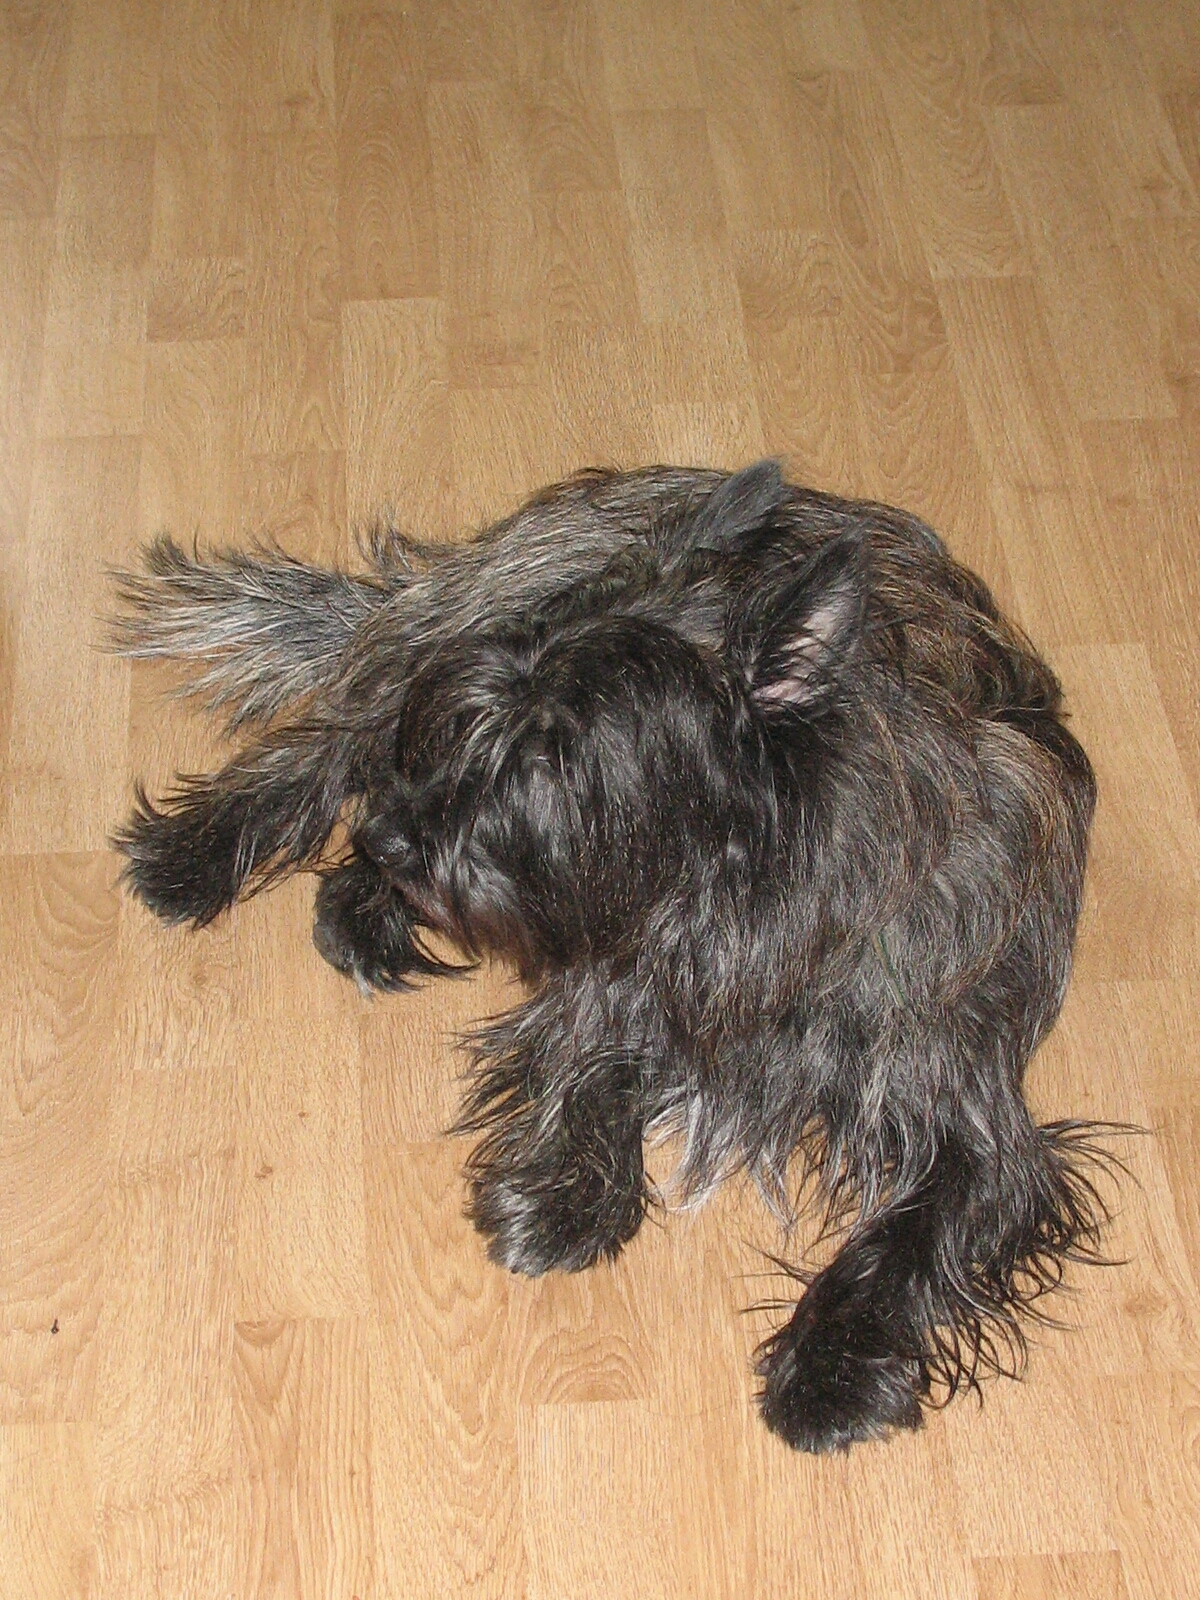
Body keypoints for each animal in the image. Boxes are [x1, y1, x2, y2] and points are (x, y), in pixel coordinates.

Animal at [108, 460, 1112, 1452]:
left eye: (556, 756)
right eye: (479, 717)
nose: (395, 839)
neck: (751, 908)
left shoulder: (978, 1126)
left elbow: (911, 1243)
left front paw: (831, 1366)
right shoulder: (604, 978)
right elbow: (592, 1064)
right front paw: (567, 1199)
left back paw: (360, 907)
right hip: (439, 642)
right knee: (331, 743)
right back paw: (198, 854)